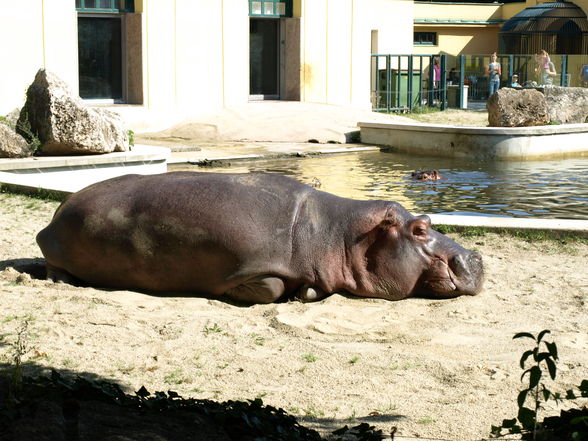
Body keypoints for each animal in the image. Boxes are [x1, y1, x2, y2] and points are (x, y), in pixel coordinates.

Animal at [39, 172, 484, 302]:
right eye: (420, 228)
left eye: (427, 217)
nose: (476, 256)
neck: (340, 234)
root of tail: (55, 215)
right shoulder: (252, 266)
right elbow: (269, 287)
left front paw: (306, 293)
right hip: (58, 249)